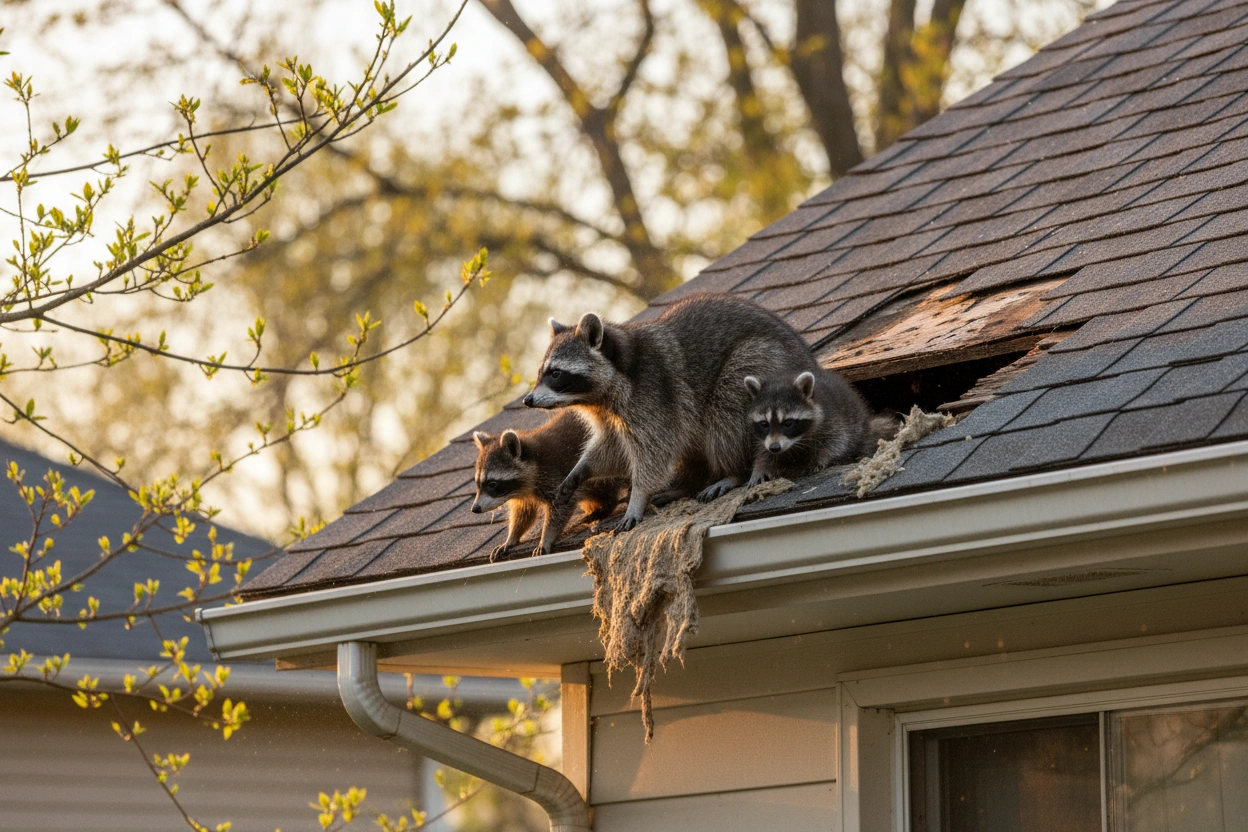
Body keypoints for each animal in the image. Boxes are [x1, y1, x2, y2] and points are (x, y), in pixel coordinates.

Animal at [470, 411, 623, 561]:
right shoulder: (525, 494)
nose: (475, 509)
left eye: (492, 484)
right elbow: (523, 514)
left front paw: (546, 537)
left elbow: (561, 508)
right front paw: (512, 537)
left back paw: (607, 507)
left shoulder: (557, 477)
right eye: (478, 483)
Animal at [523, 294, 820, 530]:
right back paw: (687, 484)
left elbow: (655, 452)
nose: (527, 400)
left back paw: (732, 472)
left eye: (556, 374)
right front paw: (581, 468)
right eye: (540, 373)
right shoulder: (613, 414)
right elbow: (611, 448)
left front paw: (637, 497)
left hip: (761, 362)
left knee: (726, 409)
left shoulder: (652, 396)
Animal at [743, 369, 894, 486]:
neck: (797, 441)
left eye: (788, 423)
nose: (775, 447)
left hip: (860, 428)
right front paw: (760, 467)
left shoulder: (832, 420)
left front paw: (821, 458)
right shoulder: (765, 439)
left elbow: (837, 441)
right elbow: (763, 452)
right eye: (764, 423)